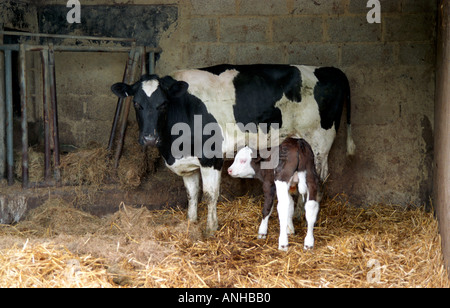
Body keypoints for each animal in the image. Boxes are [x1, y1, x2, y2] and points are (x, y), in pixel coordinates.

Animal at [111, 63, 356, 236]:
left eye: (163, 104)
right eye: (136, 104)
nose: (150, 138)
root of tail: (331, 69)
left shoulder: (211, 157)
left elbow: (210, 195)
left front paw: (211, 228)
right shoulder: (187, 164)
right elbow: (192, 194)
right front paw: (191, 223)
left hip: (320, 142)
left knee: (318, 179)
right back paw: (295, 215)